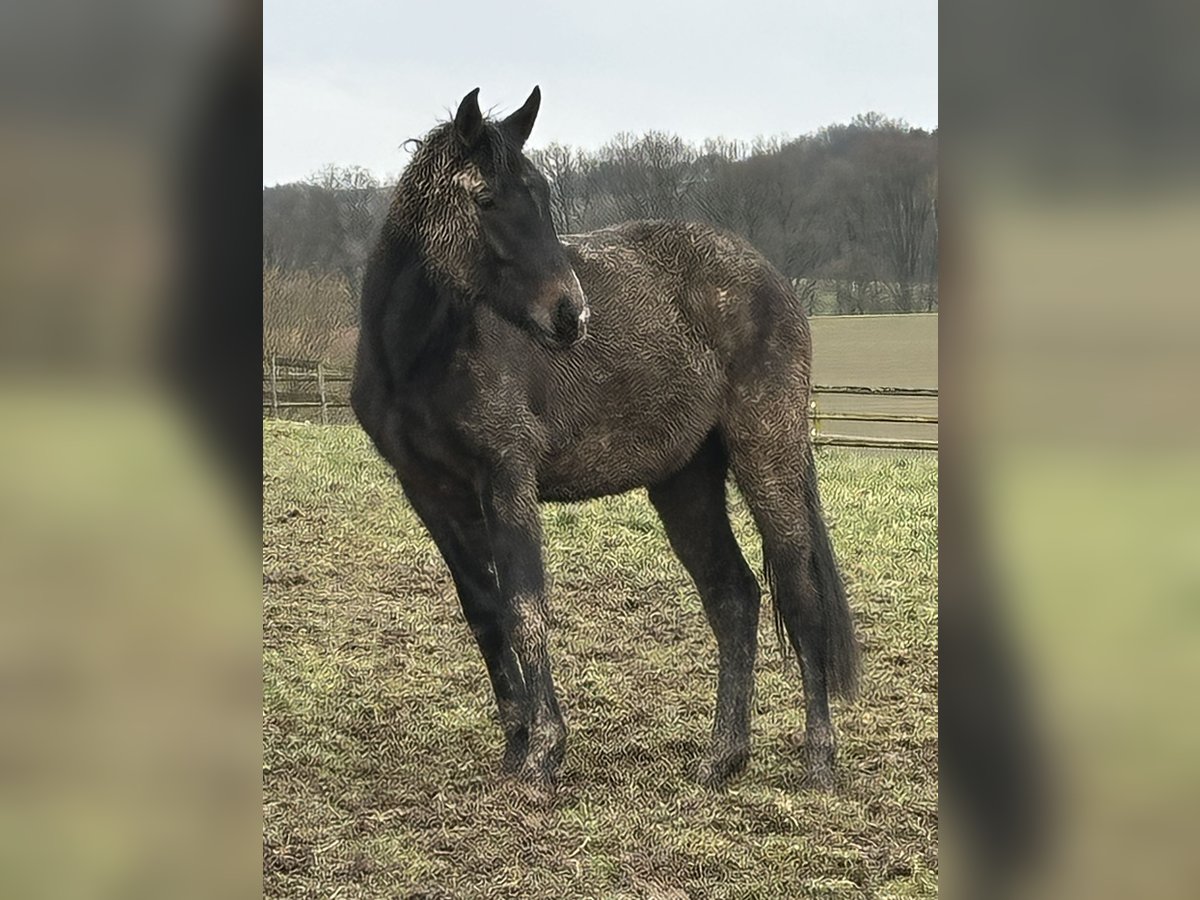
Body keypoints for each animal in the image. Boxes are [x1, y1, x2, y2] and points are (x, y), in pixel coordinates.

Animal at [350, 88, 859, 792]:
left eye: (541, 195)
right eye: (486, 200)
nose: (572, 314)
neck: (419, 357)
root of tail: (770, 278)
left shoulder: (507, 477)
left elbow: (524, 606)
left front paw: (544, 753)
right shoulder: (431, 494)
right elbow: (485, 615)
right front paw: (515, 746)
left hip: (767, 456)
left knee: (800, 593)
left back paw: (818, 761)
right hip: (685, 480)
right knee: (733, 597)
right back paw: (722, 757)